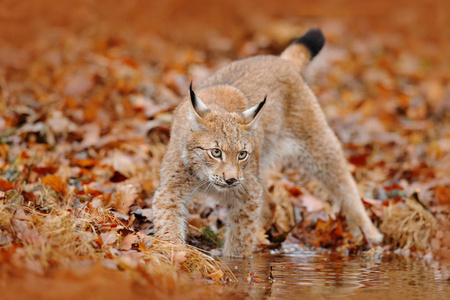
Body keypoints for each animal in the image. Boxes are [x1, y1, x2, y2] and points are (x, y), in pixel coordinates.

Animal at [152, 28, 384, 256]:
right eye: (216, 152)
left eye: (242, 154)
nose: (231, 180)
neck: (206, 178)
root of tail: (278, 60)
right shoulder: (170, 189)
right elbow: (168, 224)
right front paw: (175, 254)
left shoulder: (247, 194)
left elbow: (239, 241)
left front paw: (233, 264)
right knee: (271, 203)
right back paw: (262, 239)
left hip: (317, 144)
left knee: (345, 184)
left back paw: (369, 233)